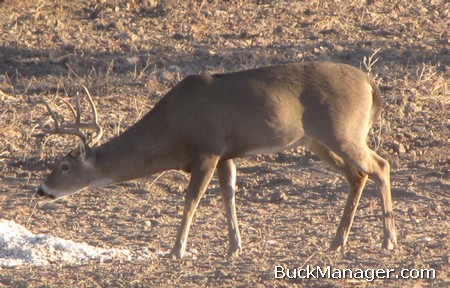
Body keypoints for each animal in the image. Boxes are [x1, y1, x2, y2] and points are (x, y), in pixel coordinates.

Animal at [37, 62, 398, 258]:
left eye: (63, 166)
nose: (41, 190)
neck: (173, 129)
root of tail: (370, 83)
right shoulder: (226, 154)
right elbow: (229, 195)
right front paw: (234, 246)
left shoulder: (207, 149)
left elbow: (192, 199)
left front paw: (176, 249)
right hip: (317, 140)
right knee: (357, 176)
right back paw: (337, 241)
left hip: (343, 131)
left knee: (381, 166)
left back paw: (388, 240)